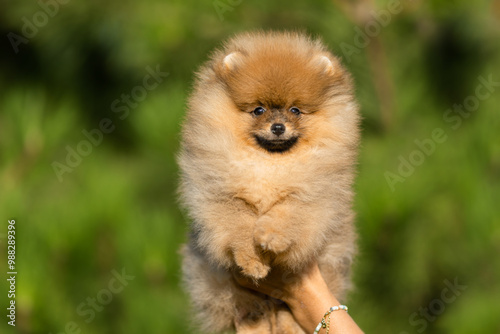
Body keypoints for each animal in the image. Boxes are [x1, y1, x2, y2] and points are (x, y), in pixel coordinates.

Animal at [180, 30, 360, 332]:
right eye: (259, 110)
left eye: (295, 110)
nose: (278, 127)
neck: (270, 163)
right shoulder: (220, 194)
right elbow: (239, 227)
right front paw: (253, 262)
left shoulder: (316, 195)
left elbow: (288, 213)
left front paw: (271, 237)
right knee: (249, 309)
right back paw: (254, 319)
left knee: (286, 313)